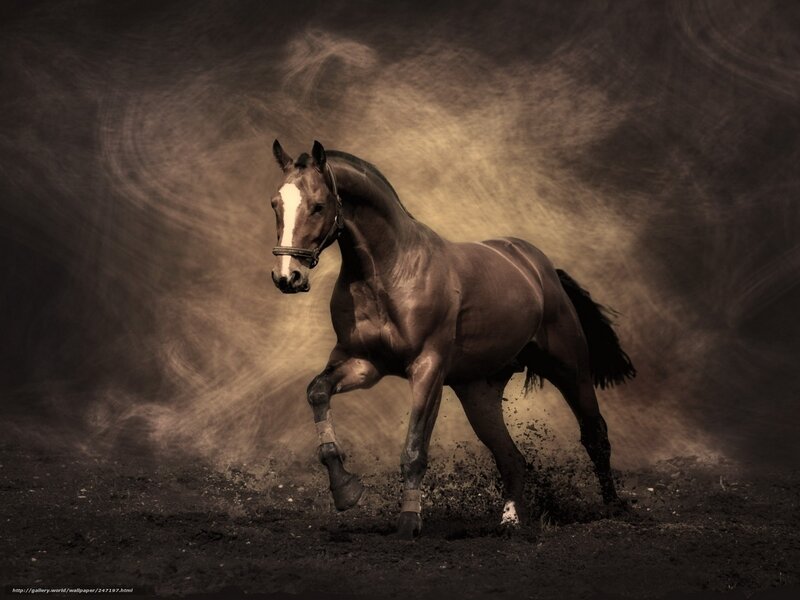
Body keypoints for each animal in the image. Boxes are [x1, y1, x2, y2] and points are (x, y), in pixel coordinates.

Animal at [268, 140, 636, 539]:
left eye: (319, 205)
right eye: (275, 204)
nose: (287, 277)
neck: (389, 272)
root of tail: (540, 268)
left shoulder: (428, 369)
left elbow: (414, 449)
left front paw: (408, 523)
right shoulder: (364, 364)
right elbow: (317, 392)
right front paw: (346, 490)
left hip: (569, 368)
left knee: (595, 434)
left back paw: (613, 508)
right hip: (479, 392)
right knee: (511, 457)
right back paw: (511, 521)